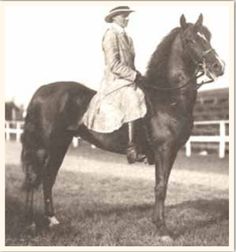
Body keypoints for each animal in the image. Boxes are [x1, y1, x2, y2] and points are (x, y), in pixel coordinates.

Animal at [21, 14, 224, 240]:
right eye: (190, 40)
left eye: (208, 36)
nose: (218, 66)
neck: (168, 98)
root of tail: (41, 91)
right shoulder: (164, 150)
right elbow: (160, 187)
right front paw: (163, 229)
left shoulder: (171, 152)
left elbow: (162, 185)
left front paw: (158, 224)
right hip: (43, 147)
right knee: (33, 178)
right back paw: (30, 224)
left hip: (60, 145)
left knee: (48, 178)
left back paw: (52, 220)